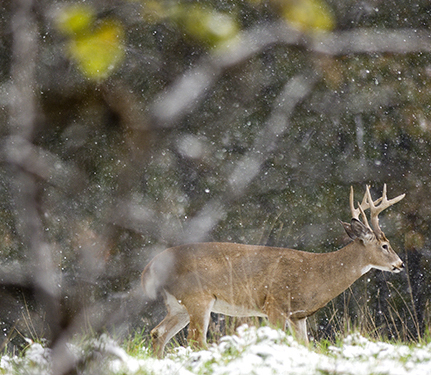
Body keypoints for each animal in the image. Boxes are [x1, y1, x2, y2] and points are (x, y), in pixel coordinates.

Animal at [142, 186, 404, 358]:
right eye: (385, 245)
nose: (400, 264)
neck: (315, 274)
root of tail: (151, 264)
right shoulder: (274, 303)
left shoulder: (298, 315)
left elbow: (304, 346)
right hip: (198, 297)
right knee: (196, 341)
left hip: (178, 305)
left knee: (158, 333)